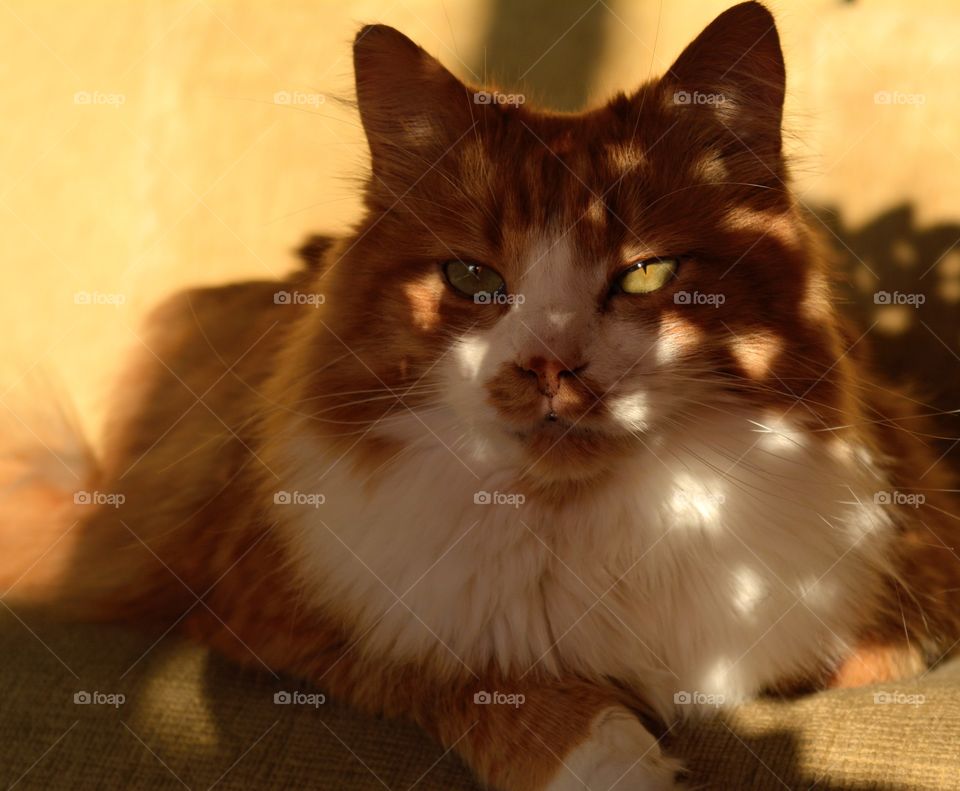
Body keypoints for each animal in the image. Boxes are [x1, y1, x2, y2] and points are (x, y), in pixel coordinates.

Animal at [1, 3, 960, 788]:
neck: (587, 525)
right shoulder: (286, 612)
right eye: (471, 278)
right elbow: (481, 674)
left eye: (647, 274)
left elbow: (851, 658)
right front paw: (615, 763)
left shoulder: (905, 581)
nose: (550, 365)